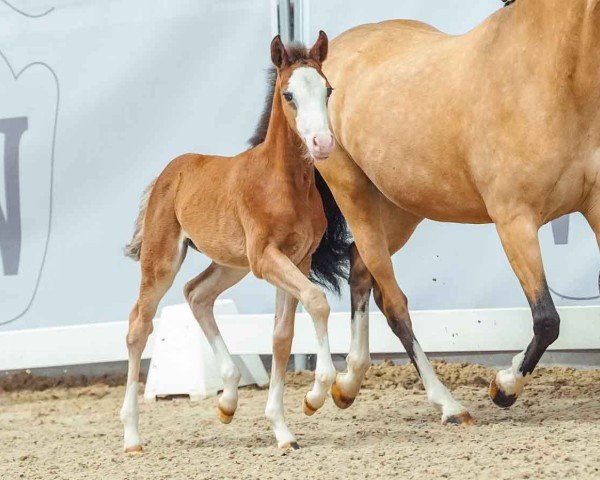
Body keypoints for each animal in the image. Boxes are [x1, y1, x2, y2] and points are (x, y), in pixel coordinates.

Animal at [120, 31, 342, 452]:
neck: (284, 183)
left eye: (328, 90)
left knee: (196, 294)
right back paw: (132, 437)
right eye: (289, 94)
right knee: (139, 324)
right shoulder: (266, 257)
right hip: (163, 261)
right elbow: (317, 301)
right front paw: (315, 397)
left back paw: (227, 401)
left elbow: (282, 336)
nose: (322, 143)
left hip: (230, 264)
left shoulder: (298, 259)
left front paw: (282, 429)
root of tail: (168, 172)